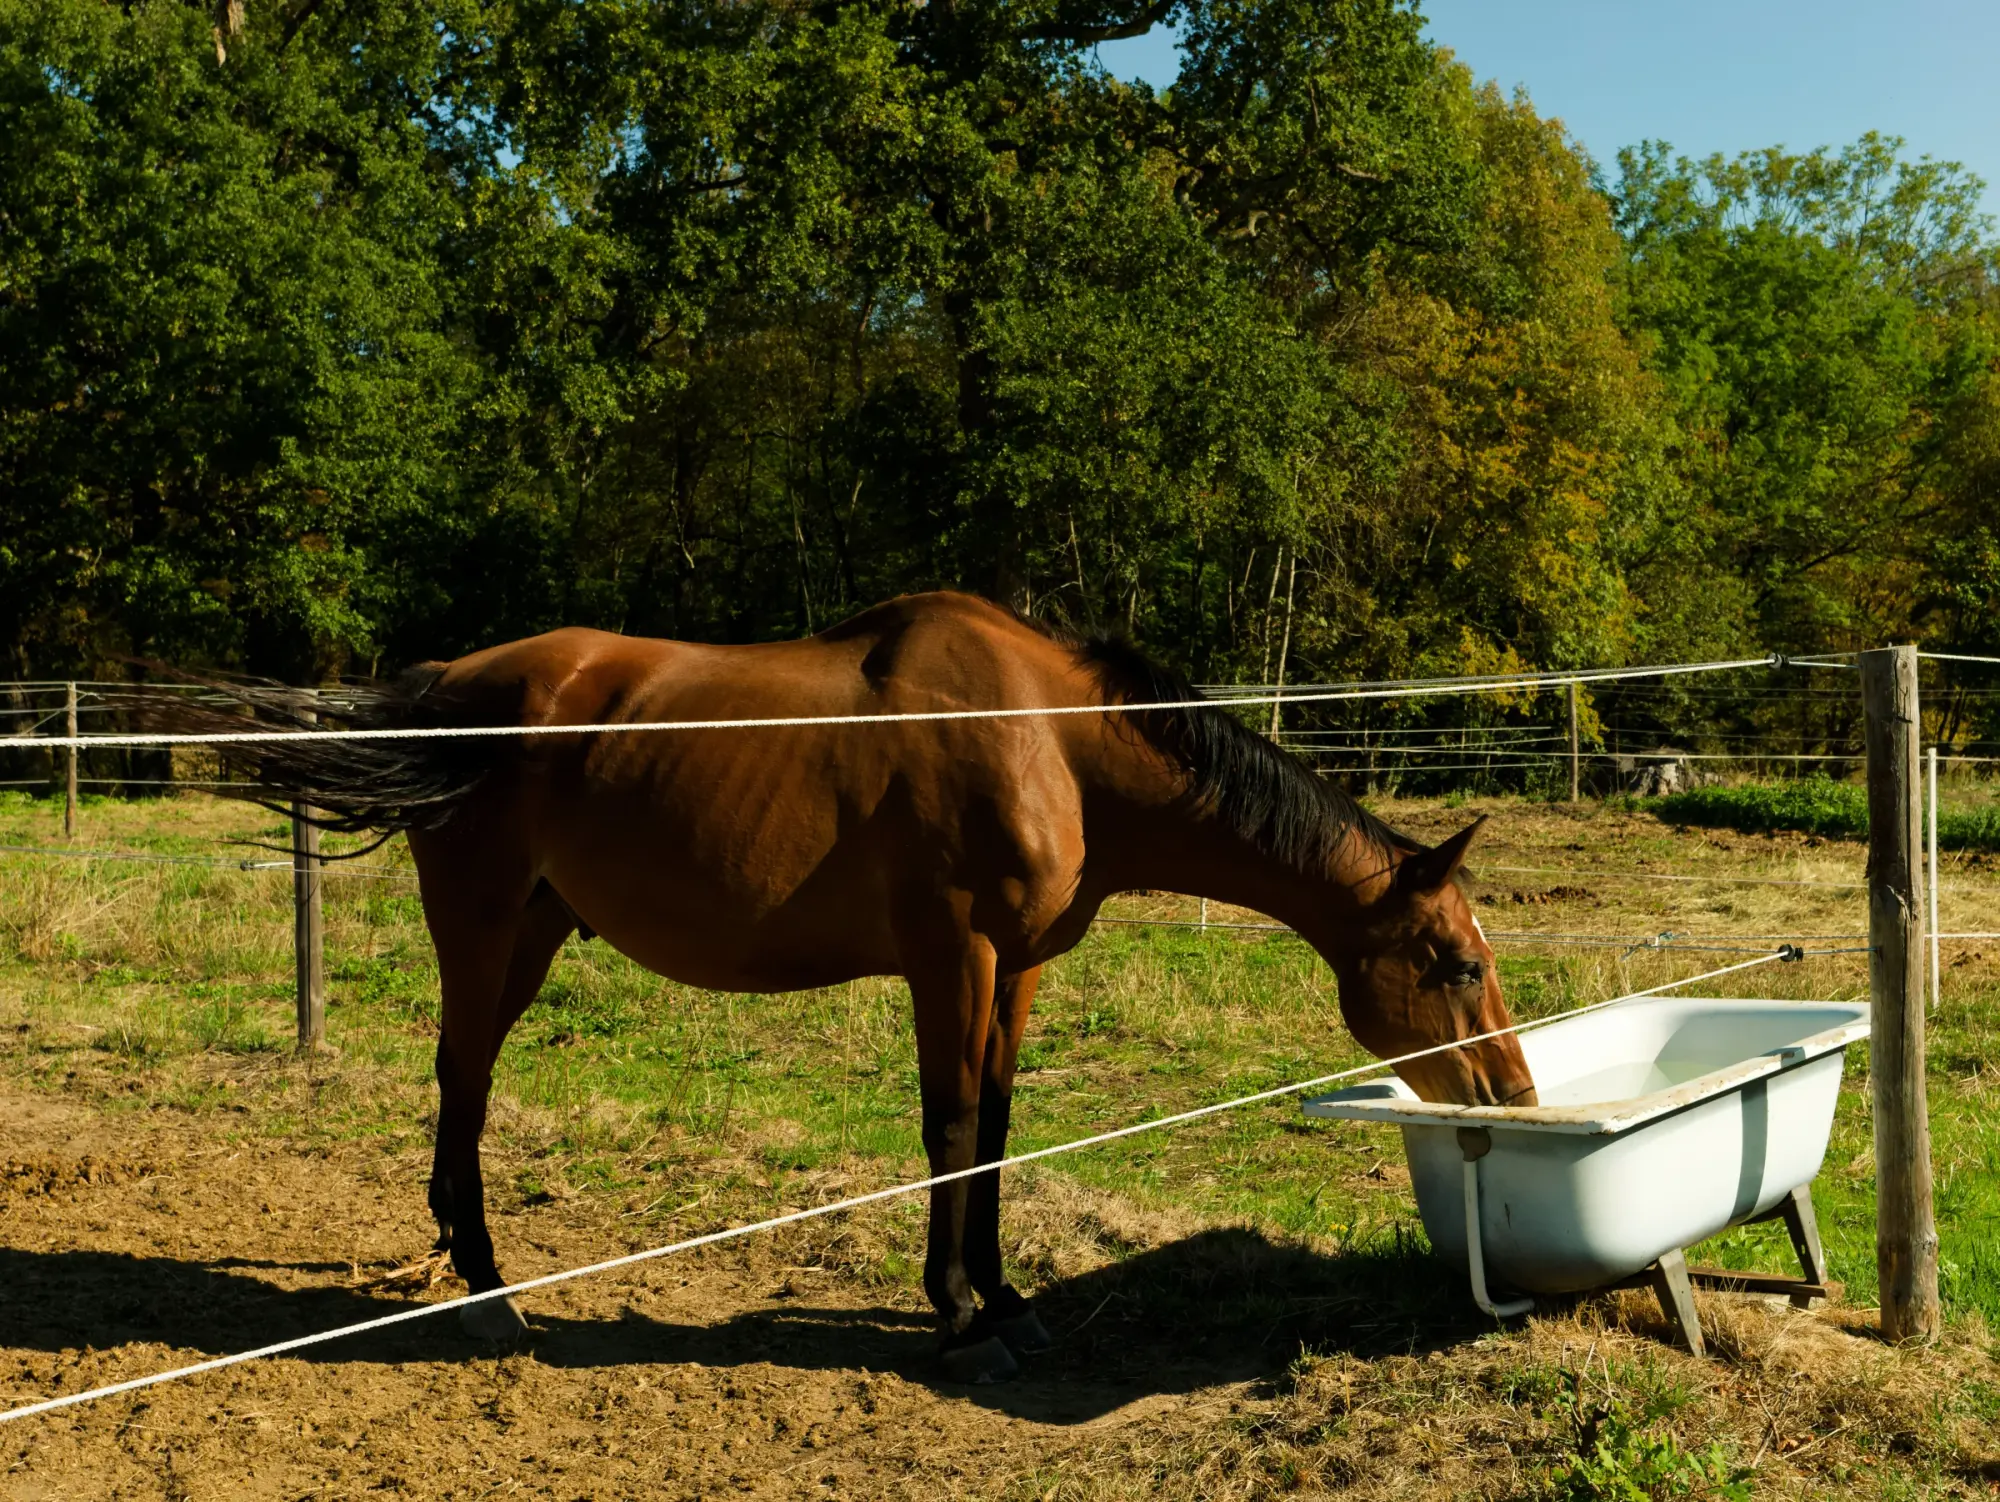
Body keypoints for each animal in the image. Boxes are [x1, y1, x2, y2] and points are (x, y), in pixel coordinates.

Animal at [147, 591, 1536, 1383]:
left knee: (463, 1085)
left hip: (534, 929)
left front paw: (1008, 1298)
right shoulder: (951, 953)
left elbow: (1001, 1128)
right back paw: (489, 1290)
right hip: (484, 927)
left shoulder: (1018, 966)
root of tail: (451, 687)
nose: (1513, 1091)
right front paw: (961, 1318)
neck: (1050, 736)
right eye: (1457, 961)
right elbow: (952, 1127)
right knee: (464, 1084)